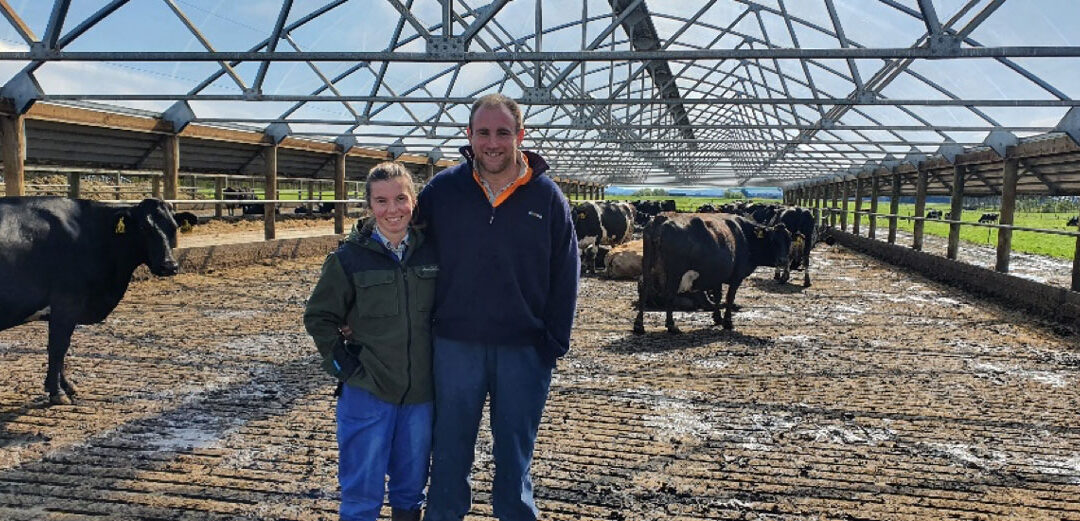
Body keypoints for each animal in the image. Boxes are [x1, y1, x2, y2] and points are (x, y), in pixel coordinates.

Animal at [0, 197, 181, 404]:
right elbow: (58, 347)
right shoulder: (66, 304)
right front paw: (57, 393)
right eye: (144, 227)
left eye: (174, 227)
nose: (169, 265)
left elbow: (59, 347)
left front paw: (65, 385)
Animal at [630, 211, 794, 332]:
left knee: (645, 290)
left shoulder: (716, 275)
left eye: (789, 240)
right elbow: (729, 297)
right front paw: (727, 322)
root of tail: (661, 217)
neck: (745, 235)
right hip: (675, 273)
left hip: (648, 267)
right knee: (669, 294)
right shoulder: (736, 276)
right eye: (773, 240)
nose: (783, 261)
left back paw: (639, 325)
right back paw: (671, 326)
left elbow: (718, 296)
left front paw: (717, 318)